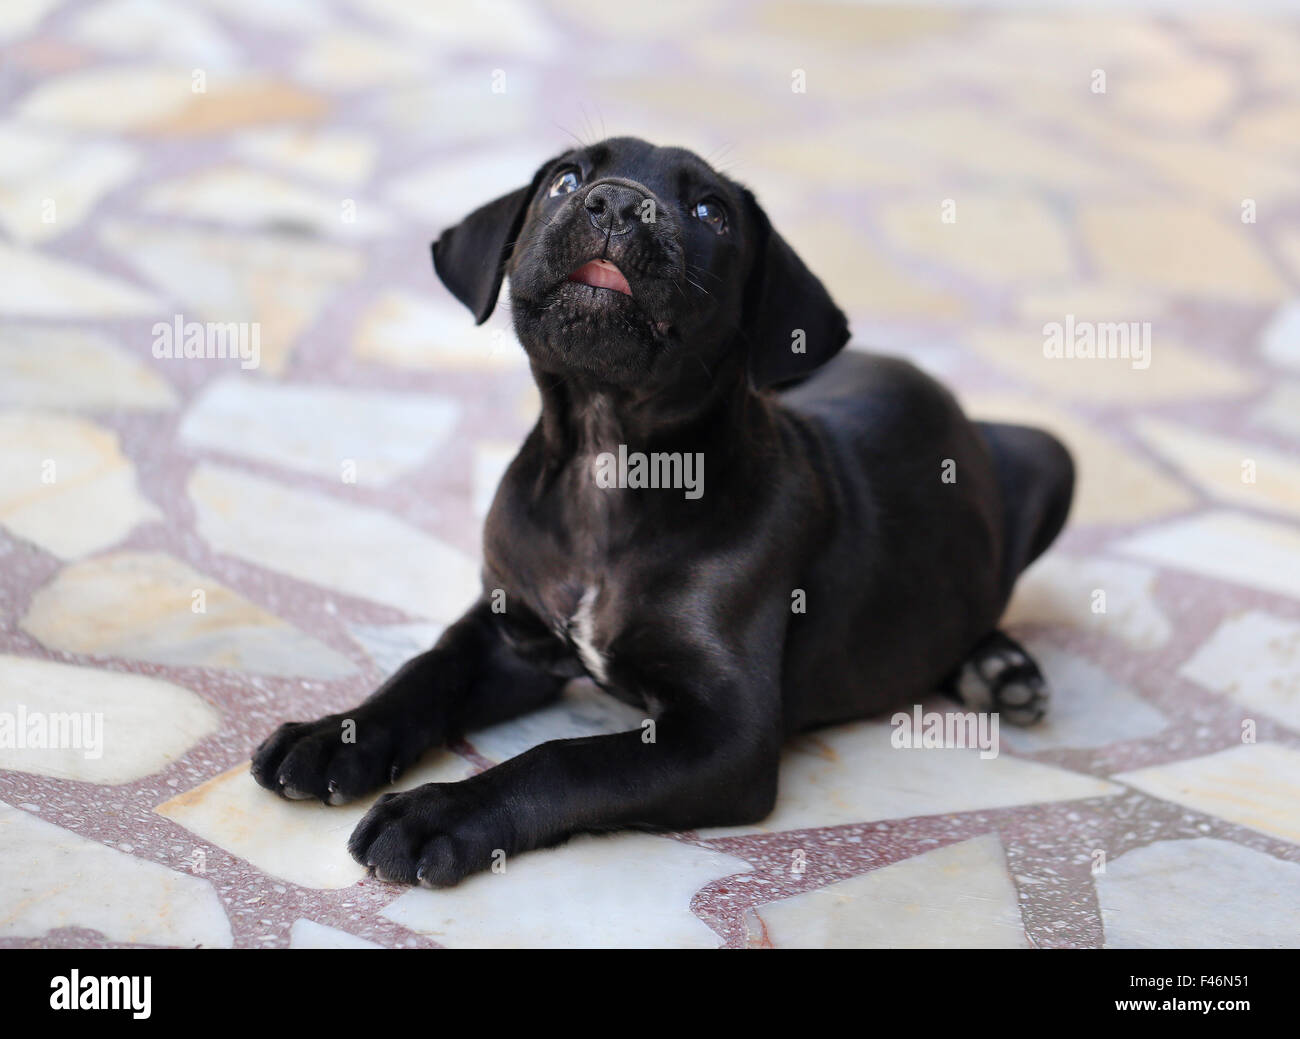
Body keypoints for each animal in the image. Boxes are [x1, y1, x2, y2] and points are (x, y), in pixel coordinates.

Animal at [248, 135, 1071, 884]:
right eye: (566, 179)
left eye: (711, 211)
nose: (614, 203)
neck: (603, 459)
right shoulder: (511, 634)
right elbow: (426, 671)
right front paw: (334, 736)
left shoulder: (726, 735)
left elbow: (562, 761)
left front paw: (436, 815)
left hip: (1052, 457)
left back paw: (1000, 668)